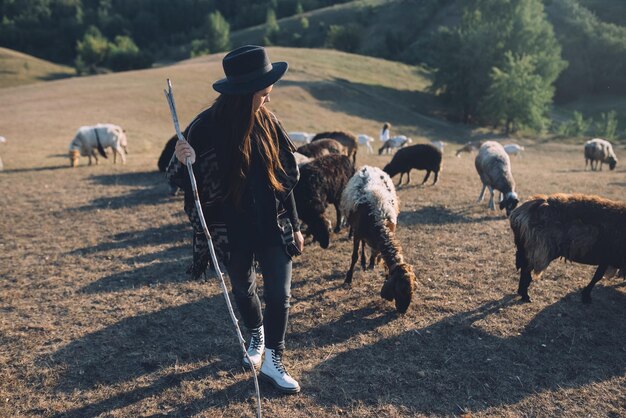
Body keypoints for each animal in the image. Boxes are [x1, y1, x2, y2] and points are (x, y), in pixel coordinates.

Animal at [338, 165, 416, 312]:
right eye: (400, 289)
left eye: (413, 289)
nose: (402, 311)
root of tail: (369, 167)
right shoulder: (357, 234)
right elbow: (354, 256)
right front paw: (348, 279)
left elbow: (378, 254)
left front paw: (374, 264)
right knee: (363, 246)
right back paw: (363, 262)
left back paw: (368, 263)